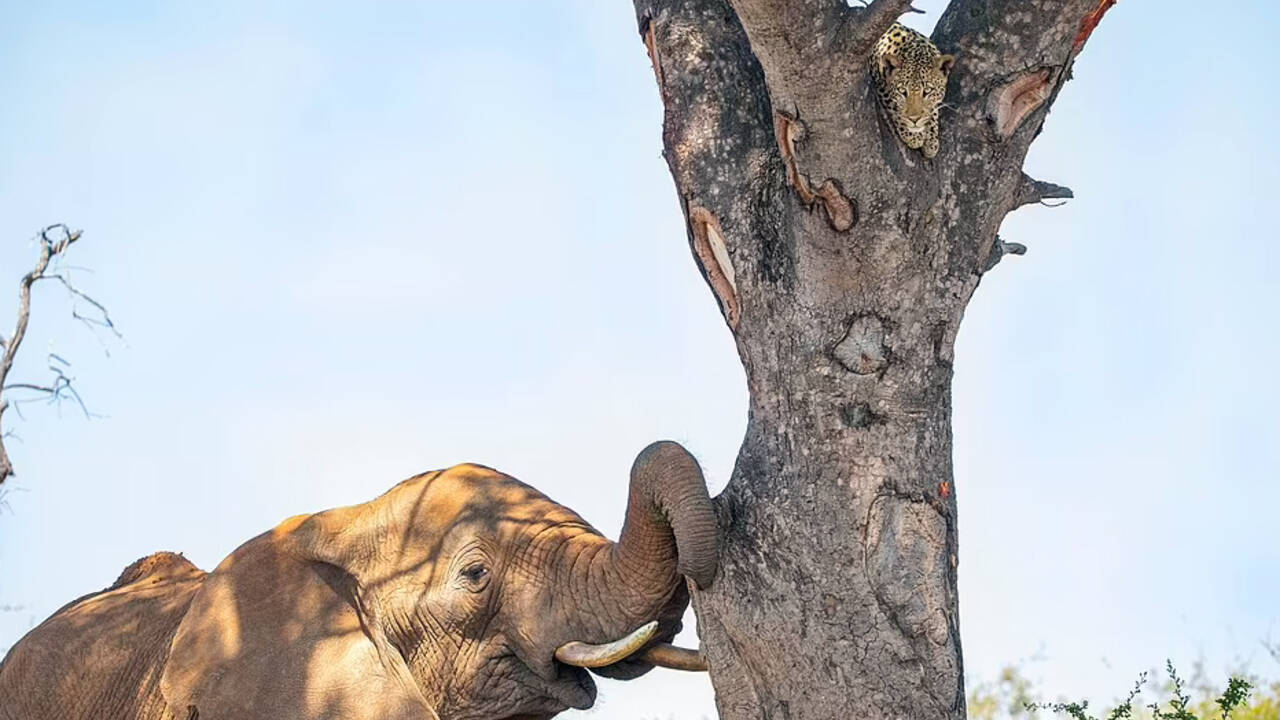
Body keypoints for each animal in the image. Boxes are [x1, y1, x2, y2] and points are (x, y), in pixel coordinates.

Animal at [870, 22, 952, 158]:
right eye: (902, 91)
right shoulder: (880, 85)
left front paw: (931, 141)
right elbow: (894, 106)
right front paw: (913, 136)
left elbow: (932, 109)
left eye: (928, 90)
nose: (914, 120)